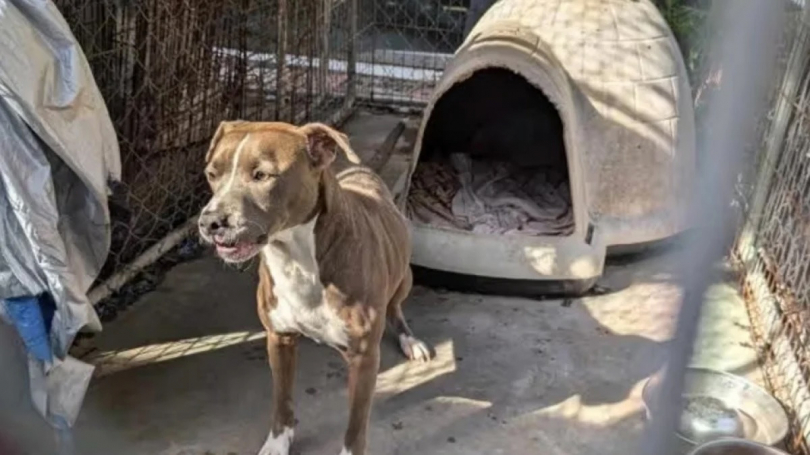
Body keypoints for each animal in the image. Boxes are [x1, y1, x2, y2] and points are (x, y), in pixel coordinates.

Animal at [196, 121, 430, 455]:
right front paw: (277, 443)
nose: (210, 222)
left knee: (395, 307)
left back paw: (410, 340)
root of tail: (364, 171)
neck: (297, 259)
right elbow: (281, 401)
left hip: (405, 276)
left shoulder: (364, 358)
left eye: (261, 175)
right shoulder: (279, 339)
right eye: (212, 174)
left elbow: (355, 428)